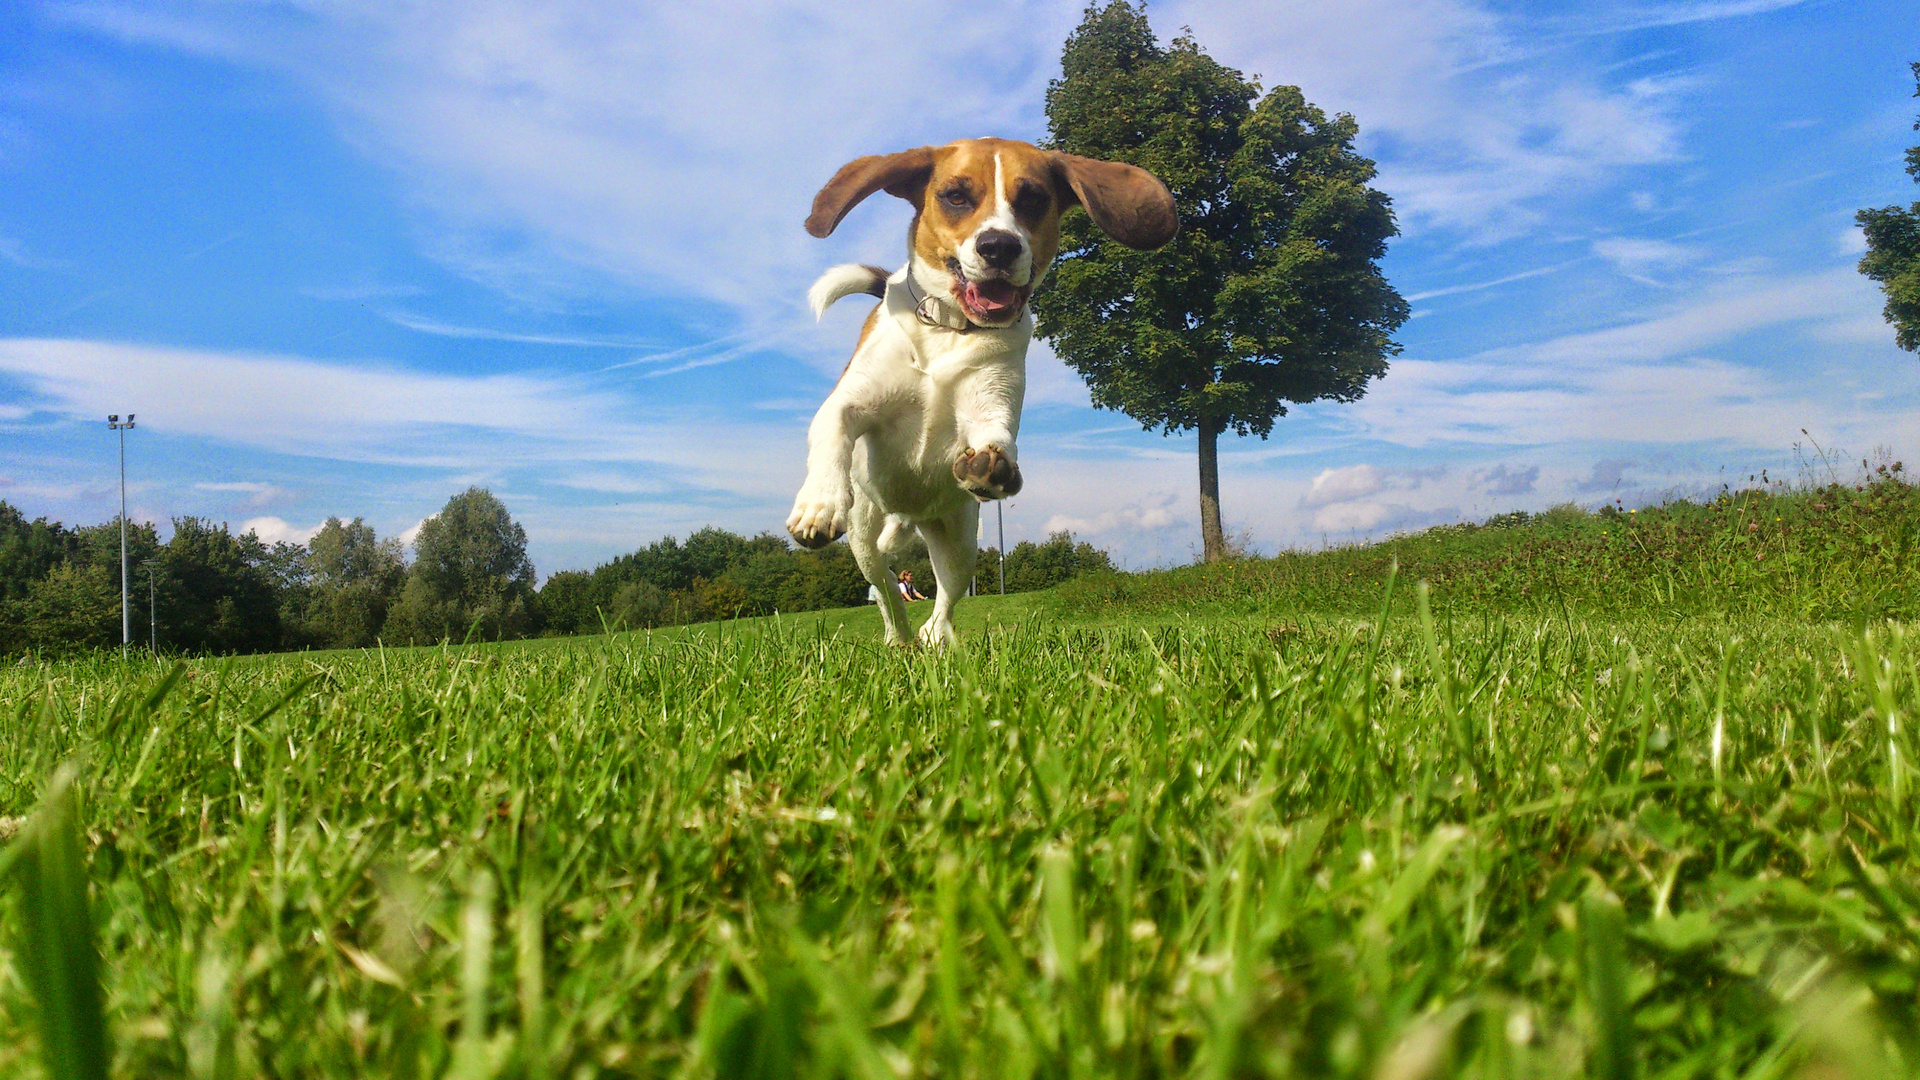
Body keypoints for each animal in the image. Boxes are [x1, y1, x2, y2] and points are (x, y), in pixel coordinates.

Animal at [787, 137, 1175, 641]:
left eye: (1033, 199)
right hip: (864, 536)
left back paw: (934, 639)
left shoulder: (991, 402)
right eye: (956, 196)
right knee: (888, 588)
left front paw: (992, 466)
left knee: (942, 605)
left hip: (959, 545)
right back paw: (898, 636)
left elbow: (995, 435)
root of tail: (912, 516)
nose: (999, 246)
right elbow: (833, 429)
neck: (950, 328)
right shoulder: (851, 401)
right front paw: (819, 502)